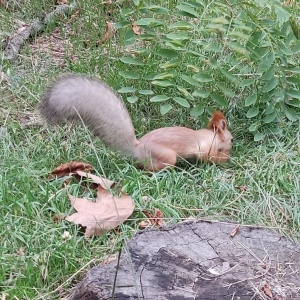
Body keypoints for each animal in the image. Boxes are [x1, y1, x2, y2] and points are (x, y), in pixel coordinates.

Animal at [39, 74, 232, 171]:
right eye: (231, 139)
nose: (231, 152)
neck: (211, 136)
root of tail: (137, 148)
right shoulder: (204, 147)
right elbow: (207, 156)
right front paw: (222, 160)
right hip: (167, 156)